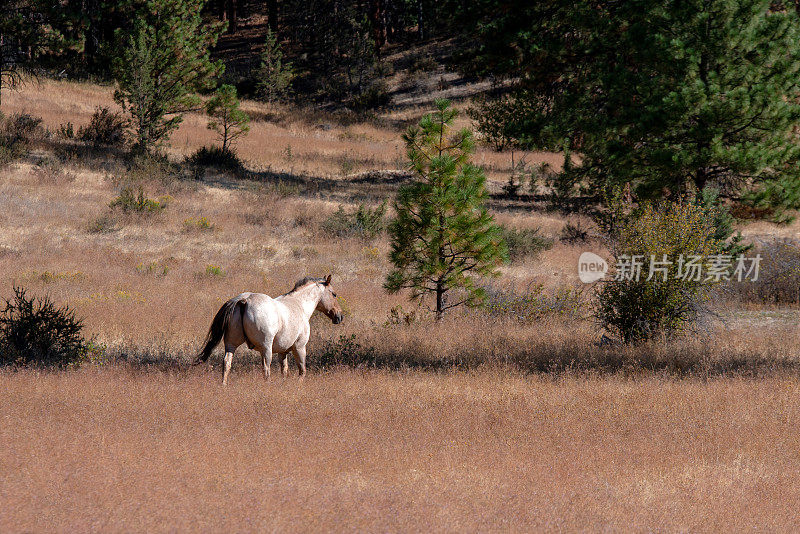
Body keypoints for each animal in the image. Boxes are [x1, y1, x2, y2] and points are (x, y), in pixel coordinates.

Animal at [197, 276, 344, 386]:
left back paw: (224, 385)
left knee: (226, 363)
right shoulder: (300, 347)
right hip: (266, 348)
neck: (299, 305)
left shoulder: (282, 352)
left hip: (231, 345)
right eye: (334, 294)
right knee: (266, 369)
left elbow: (284, 370)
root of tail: (244, 299)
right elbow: (302, 371)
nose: (340, 316)